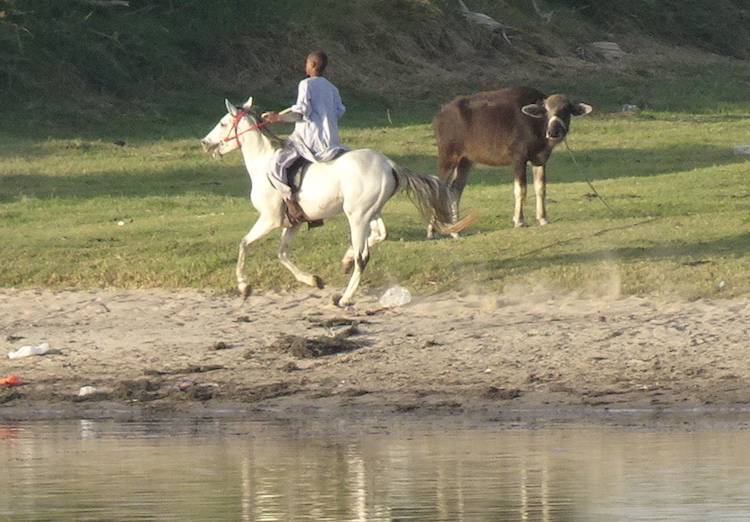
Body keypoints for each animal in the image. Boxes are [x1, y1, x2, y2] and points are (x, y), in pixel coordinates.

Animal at [200, 97, 470, 304]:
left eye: (223, 123)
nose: (204, 142)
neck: (263, 163)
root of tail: (389, 164)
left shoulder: (270, 219)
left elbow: (244, 244)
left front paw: (244, 286)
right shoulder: (294, 223)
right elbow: (282, 253)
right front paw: (313, 280)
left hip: (357, 217)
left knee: (364, 256)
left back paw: (345, 297)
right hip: (371, 213)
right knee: (379, 235)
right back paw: (346, 262)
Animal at [432, 86, 596, 237]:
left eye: (565, 110)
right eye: (546, 111)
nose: (554, 132)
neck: (535, 126)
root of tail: (440, 115)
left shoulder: (539, 160)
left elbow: (540, 188)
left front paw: (543, 218)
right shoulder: (519, 159)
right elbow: (520, 190)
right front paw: (519, 221)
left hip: (465, 161)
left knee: (455, 190)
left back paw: (455, 230)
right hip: (448, 157)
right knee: (438, 187)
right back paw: (433, 231)